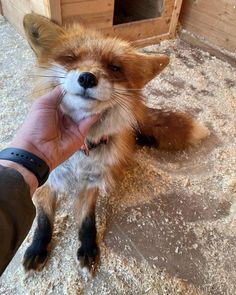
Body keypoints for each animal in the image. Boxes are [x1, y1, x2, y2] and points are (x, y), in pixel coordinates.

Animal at [23, 13, 209, 280]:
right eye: (71, 58)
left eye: (114, 68)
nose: (87, 77)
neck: (83, 150)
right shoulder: (46, 178)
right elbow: (43, 219)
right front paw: (38, 248)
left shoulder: (94, 180)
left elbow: (87, 220)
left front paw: (88, 248)